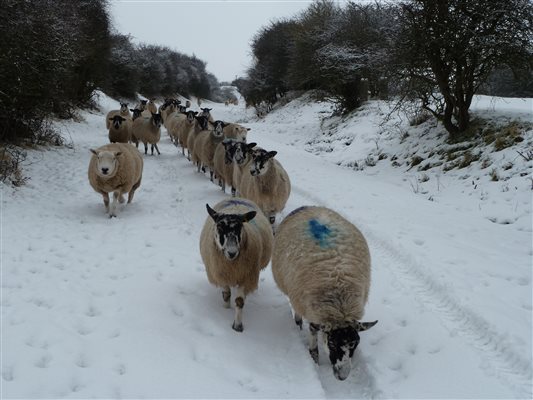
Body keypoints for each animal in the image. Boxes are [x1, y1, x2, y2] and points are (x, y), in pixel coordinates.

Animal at [200, 197, 274, 332]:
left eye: (240, 228)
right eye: (219, 227)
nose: (232, 252)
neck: (232, 265)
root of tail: (236, 198)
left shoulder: (247, 276)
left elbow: (239, 301)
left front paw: (238, 326)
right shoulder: (222, 273)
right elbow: (226, 295)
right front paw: (225, 309)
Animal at [270, 206, 378, 382]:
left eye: (355, 344)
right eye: (332, 344)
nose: (343, 376)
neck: (340, 304)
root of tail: (307, 207)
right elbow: (313, 334)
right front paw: (314, 357)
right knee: (297, 310)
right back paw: (298, 322)